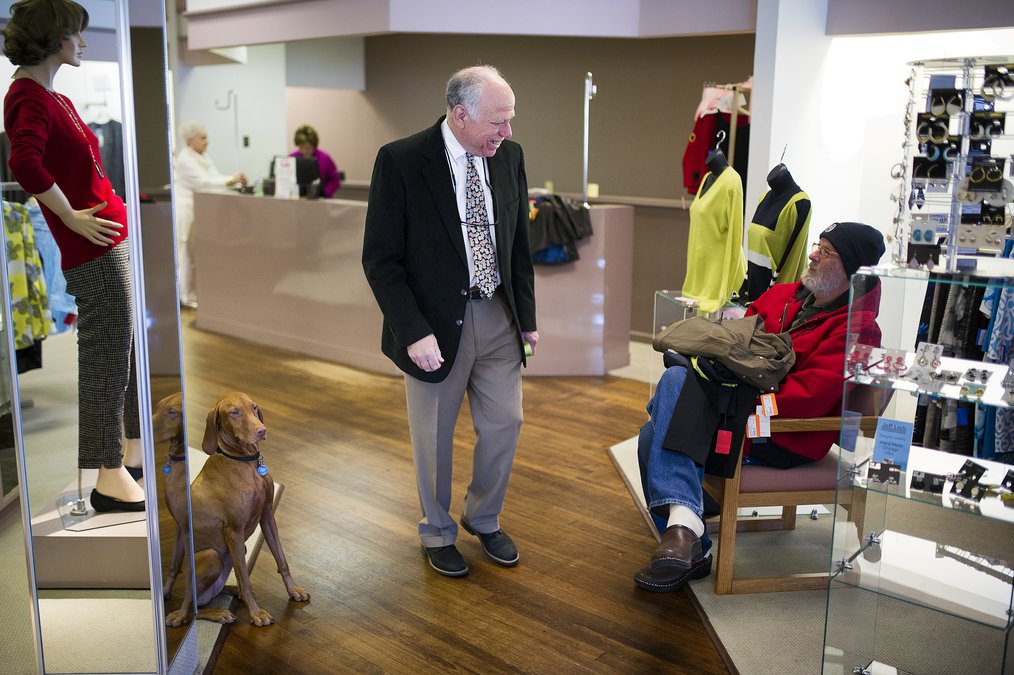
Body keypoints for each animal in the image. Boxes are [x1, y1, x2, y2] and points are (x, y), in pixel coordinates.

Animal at [166, 392, 309, 627]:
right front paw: (256, 613)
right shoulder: (233, 531)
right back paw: (215, 612)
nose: (262, 430)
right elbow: (245, 576)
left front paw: (293, 590)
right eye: (234, 412)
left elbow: (281, 559)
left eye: (254, 407)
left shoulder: (267, 516)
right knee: (190, 610)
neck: (246, 462)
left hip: (238, 549)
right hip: (212, 556)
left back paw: (233, 591)